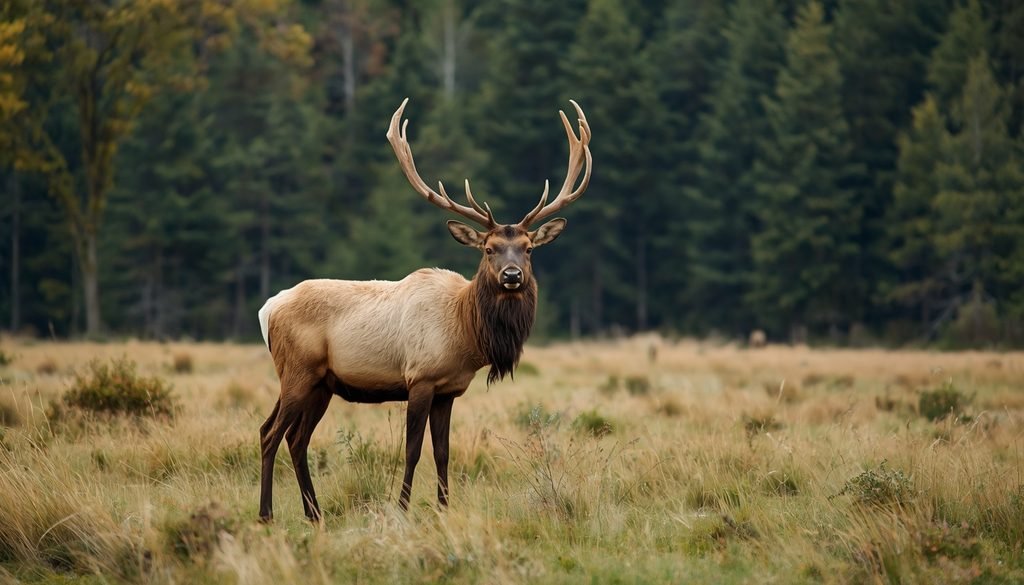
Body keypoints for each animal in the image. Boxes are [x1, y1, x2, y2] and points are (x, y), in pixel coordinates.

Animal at [256, 98, 592, 522]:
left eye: (529, 248)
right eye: (489, 249)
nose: (512, 275)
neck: (466, 333)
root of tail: (268, 309)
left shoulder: (449, 390)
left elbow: (444, 453)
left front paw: (445, 507)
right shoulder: (420, 377)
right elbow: (413, 451)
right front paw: (402, 508)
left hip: (320, 383)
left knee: (294, 438)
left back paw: (314, 513)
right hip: (297, 371)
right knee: (271, 433)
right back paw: (267, 514)